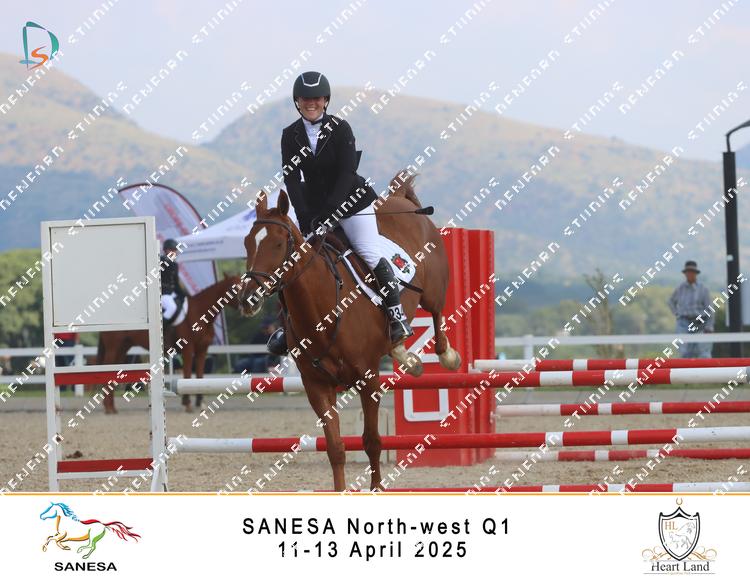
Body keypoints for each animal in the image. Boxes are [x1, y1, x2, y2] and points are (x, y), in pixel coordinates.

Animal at [96, 274, 243, 413]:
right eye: (235, 288)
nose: (247, 306)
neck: (200, 313)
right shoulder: (188, 349)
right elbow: (187, 374)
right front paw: (187, 404)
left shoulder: (202, 350)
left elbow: (200, 375)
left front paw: (200, 403)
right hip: (114, 347)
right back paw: (108, 407)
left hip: (123, 347)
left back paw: (112, 407)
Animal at [239, 173, 461, 491]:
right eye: (247, 243)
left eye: (279, 244)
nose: (248, 299)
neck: (324, 311)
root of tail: (400, 199)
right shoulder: (316, 386)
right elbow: (336, 447)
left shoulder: (368, 380)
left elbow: (372, 441)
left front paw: (377, 488)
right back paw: (403, 351)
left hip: (433, 291)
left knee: (436, 313)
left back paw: (441, 355)